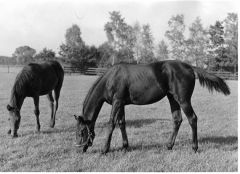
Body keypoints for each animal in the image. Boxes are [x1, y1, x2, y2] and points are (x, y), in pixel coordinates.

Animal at [73, 60, 231, 154]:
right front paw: (125, 146)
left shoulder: (117, 102)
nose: (80, 149)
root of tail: (189, 67)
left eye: (81, 132)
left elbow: (111, 123)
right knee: (177, 120)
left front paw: (105, 149)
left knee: (192, 119)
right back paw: (169, 146)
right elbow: (121, 123)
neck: (111, 78)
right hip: (172, 98)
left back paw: (194, 148)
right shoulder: (121, 104)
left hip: (183, 100)